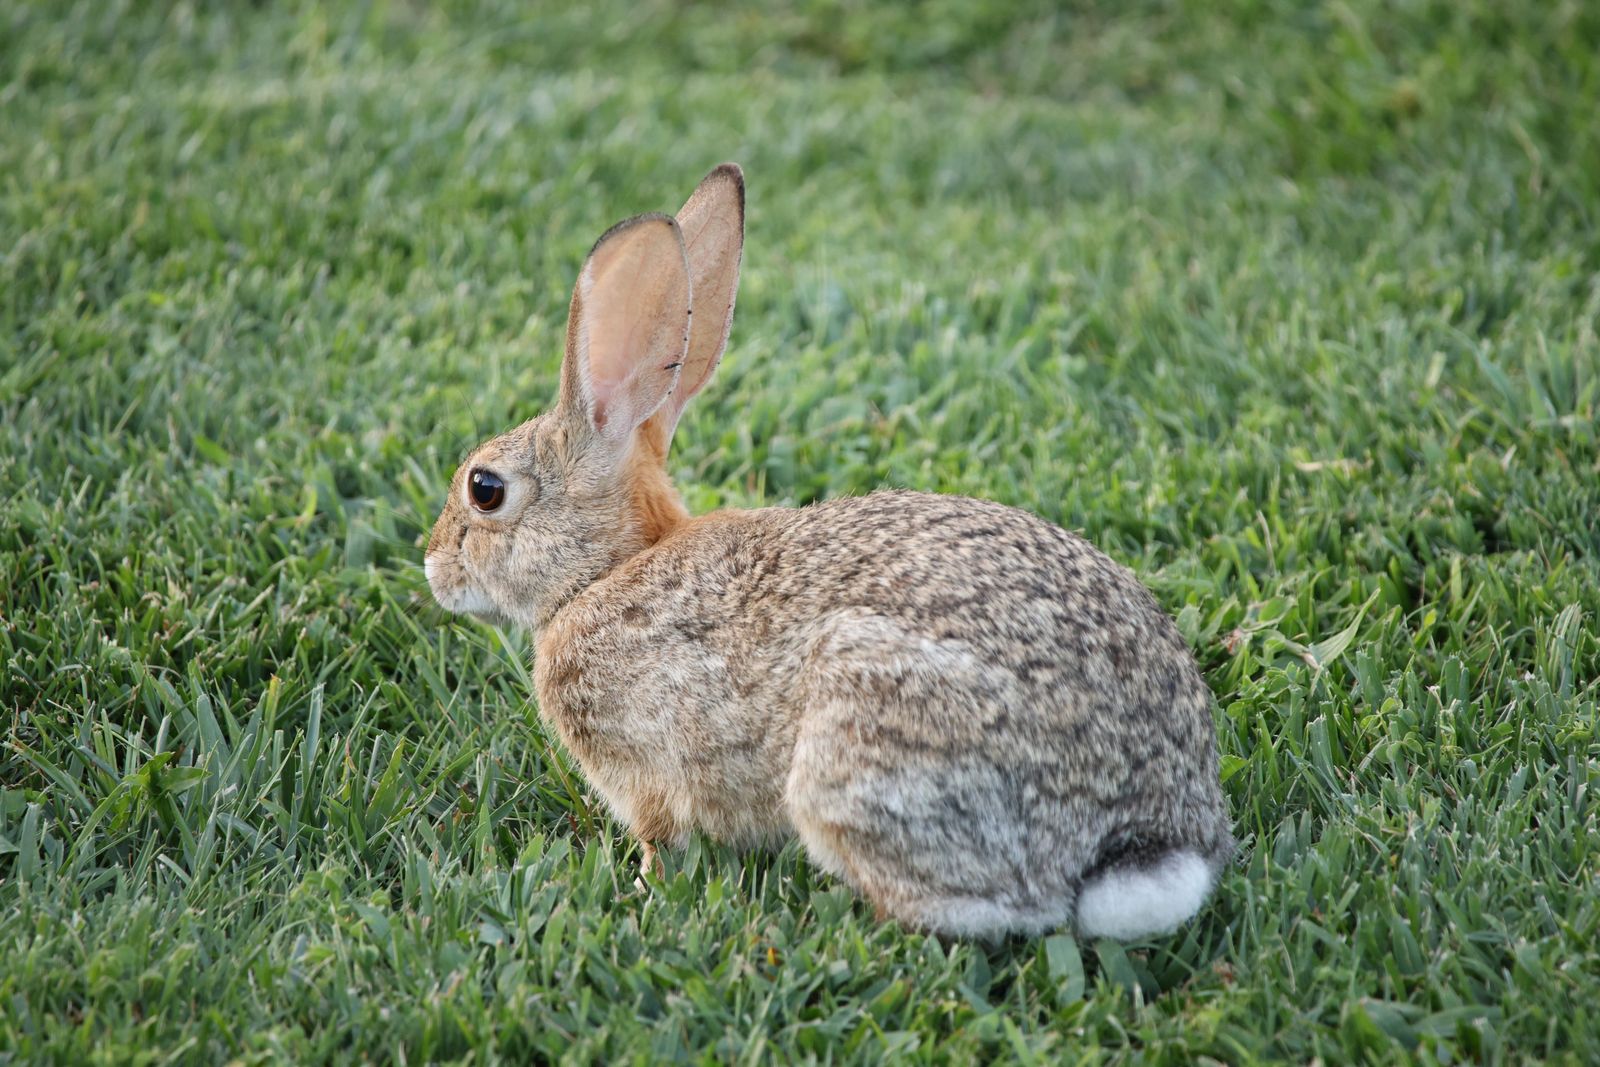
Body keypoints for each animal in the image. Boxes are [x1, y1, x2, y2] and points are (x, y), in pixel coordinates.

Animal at [425, 163, 1233, 940]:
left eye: (485, 489)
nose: (433, 569)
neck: (606, 571)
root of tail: (1144, 833)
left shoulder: (650, 775)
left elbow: (662, 839)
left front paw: (642, 892)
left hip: (863, 743)